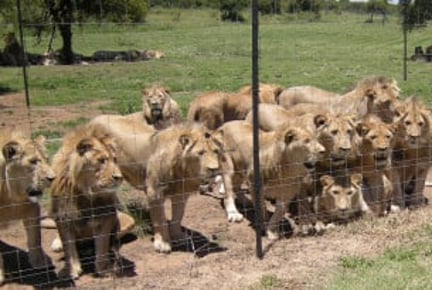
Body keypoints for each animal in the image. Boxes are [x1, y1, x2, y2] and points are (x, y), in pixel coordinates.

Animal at [0, 128, 55, 284]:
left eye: (46, 159)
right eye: (33, 161)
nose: (52, 178)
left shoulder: (31, 208)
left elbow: (35, 238)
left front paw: (40, 263)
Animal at [51, 125, 125, 280]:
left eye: (115, 160)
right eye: (102, 160)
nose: (119, 177)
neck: (86, 193)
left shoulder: (105, 217)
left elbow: (102, 245)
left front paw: (104, 270)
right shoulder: (63, 217)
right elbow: (68, 247)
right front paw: (71, 271)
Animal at [88, 115, 230, 251]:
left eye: (216, 151)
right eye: (200, 153)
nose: (214, 169)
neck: (182, 171)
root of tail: (93, 120)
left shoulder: (181, 193)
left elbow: (178, 216)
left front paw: (177, 236)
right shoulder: (154, 191)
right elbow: (159, 219)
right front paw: (162, 243)